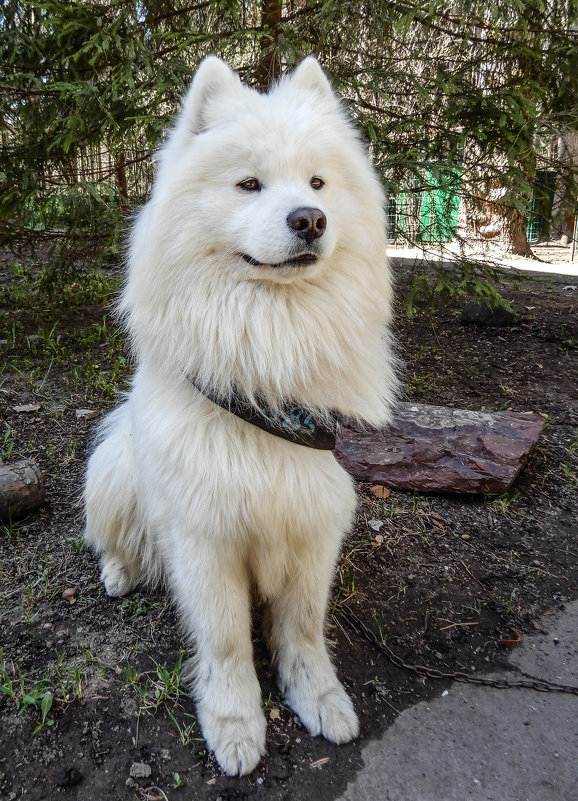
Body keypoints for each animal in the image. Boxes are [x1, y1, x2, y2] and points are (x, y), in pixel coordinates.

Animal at [84, 56, 396, 776]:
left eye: (317, 182)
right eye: (249, 183)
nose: (310, 219)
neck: (268, 358)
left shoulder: (313, 517)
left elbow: (304, 628)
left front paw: (319, 698)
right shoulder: (206, 535)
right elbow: (226, 642)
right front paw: (234, 724)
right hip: (116, 468)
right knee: (114, 537)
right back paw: (120, 571)